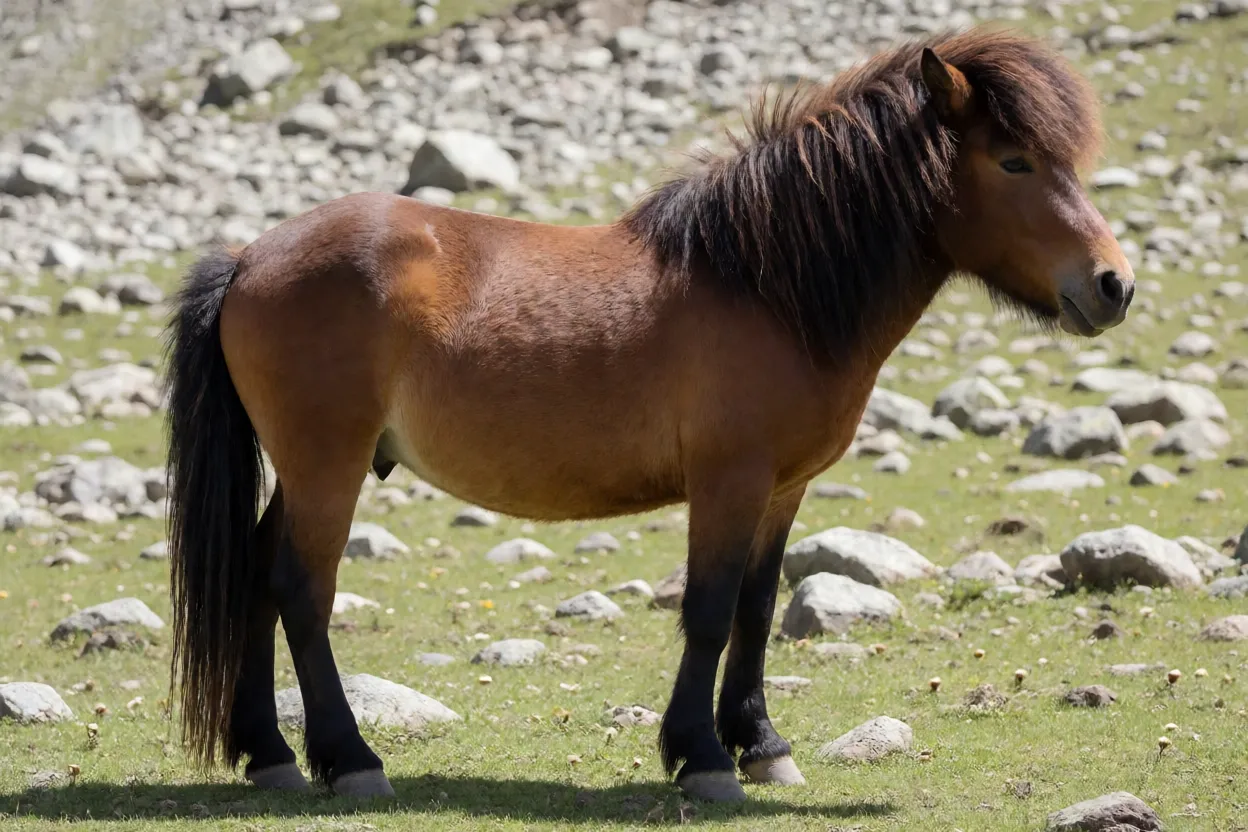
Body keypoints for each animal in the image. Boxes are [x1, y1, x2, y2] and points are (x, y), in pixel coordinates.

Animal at [164, 25, 1133, 804]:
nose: (1113, 285)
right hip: (328, 465)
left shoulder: (781, 489)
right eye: (1014, 160)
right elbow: (707, 610)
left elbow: (755, 608)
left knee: (255, 578)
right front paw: (701, 757)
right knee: (302, 590)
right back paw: (351, 760)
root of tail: (249, 258)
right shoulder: (728, 480)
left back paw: (270, 755)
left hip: (306, 470)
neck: (768, 286)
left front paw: (760, 745)